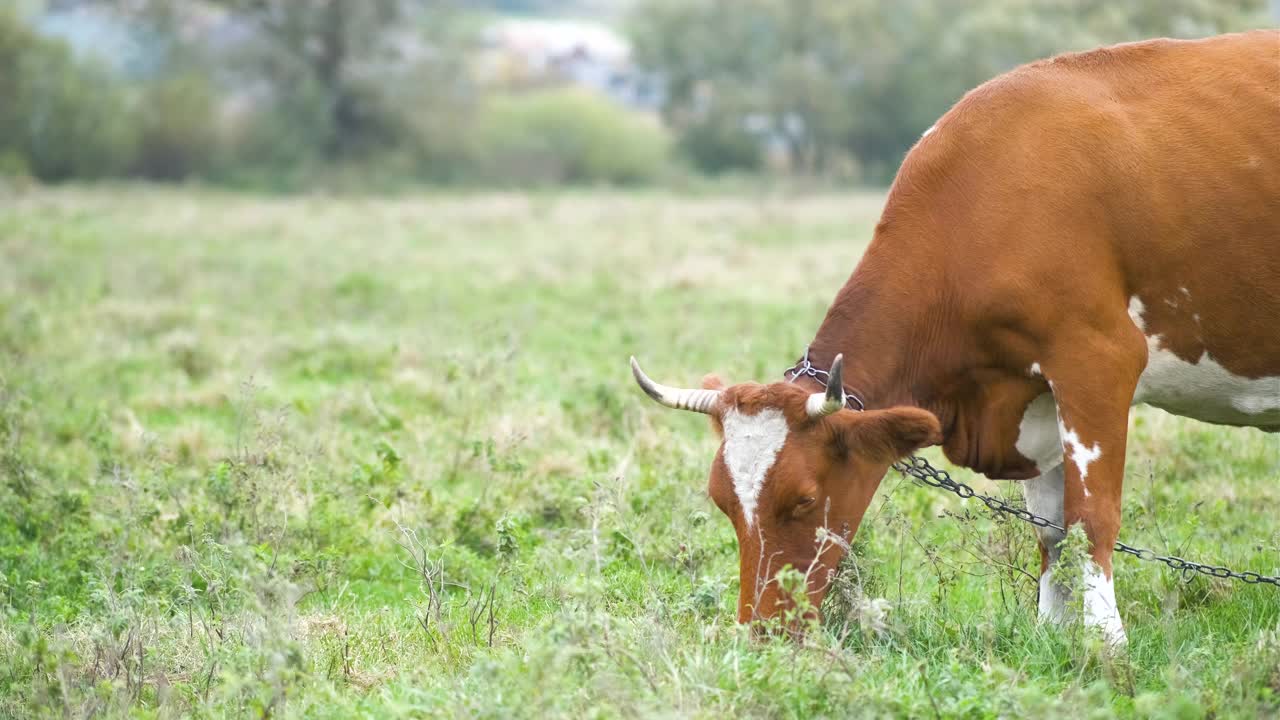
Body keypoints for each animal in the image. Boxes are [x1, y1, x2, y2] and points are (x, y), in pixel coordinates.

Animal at [629, 30, 1280, 640]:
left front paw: (1107, 646)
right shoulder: (1033, 396)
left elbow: (1092, 517)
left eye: (805, 498)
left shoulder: (1097, 361)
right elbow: (1052, 528)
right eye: (723, 500)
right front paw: (1052, 636)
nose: (760, 632)